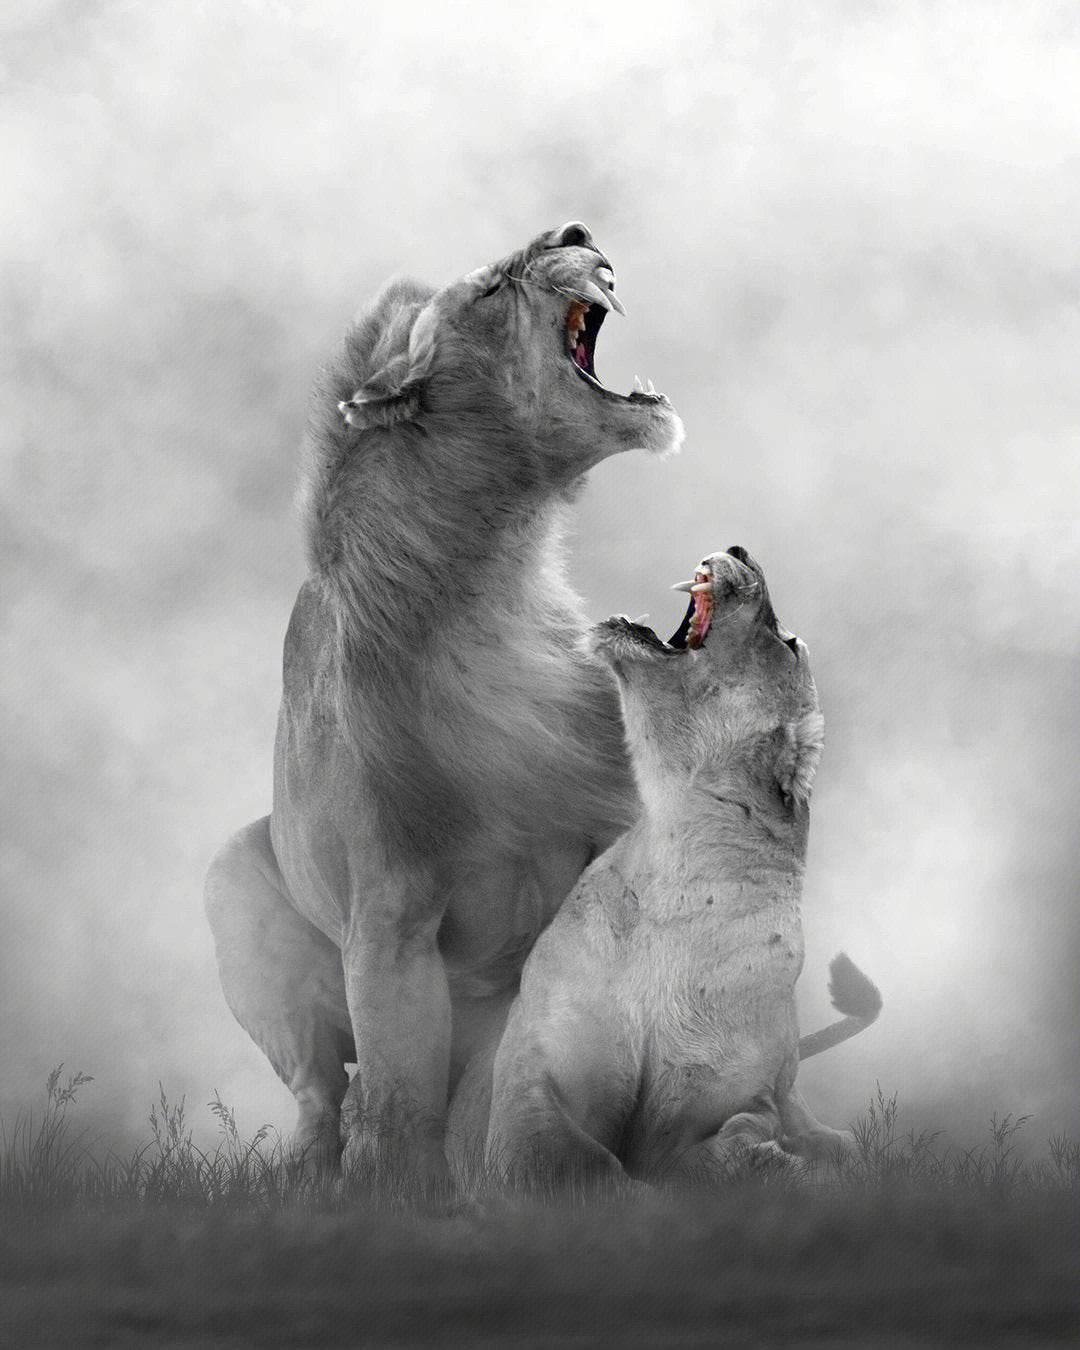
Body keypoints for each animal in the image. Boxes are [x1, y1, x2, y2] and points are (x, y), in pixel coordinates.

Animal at [203, 223, 684, 1180]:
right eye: (495, 288)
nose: (575, 231)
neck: (495, 578)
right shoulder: (389, 913)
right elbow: (399, 1098)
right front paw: (398, 1188)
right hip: (230, 882)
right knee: (323, 1093)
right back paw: (310, 1172)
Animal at [464, 547, 880, 1184]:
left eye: (787, 644)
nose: (741, 550)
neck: (679, 874)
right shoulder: (531, 1077)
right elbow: (581, 1162)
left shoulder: (713, 1100)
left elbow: (700, 1153)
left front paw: (762, 1156)